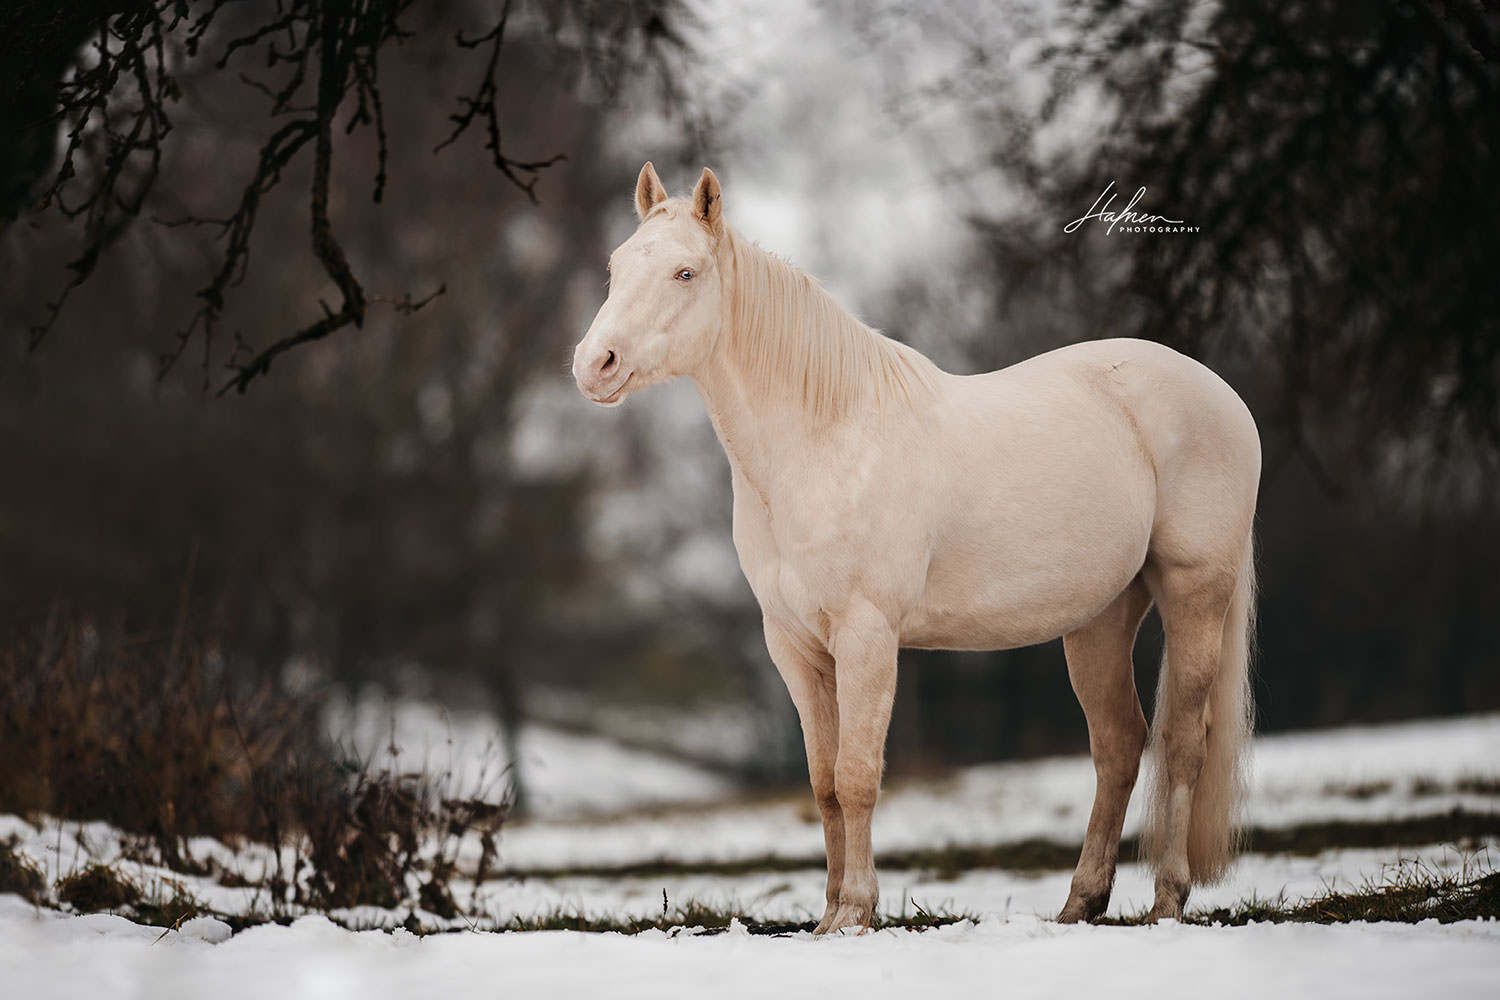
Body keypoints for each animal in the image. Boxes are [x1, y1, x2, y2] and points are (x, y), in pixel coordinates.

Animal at [572, 162, 1260, 933]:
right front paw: (828, 916)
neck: (821, 442)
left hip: (1195, 593)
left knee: (1183, 741)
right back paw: (1079, 904)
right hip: (1101, 618)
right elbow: (823, 781)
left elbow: (857, 776)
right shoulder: (794, 646)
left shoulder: (868, 637)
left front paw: (856, 914)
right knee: (1118, 745)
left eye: (685, 272)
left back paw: (1167, 901)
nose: (595, 365)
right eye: (616, 267)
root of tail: (1222, 394)